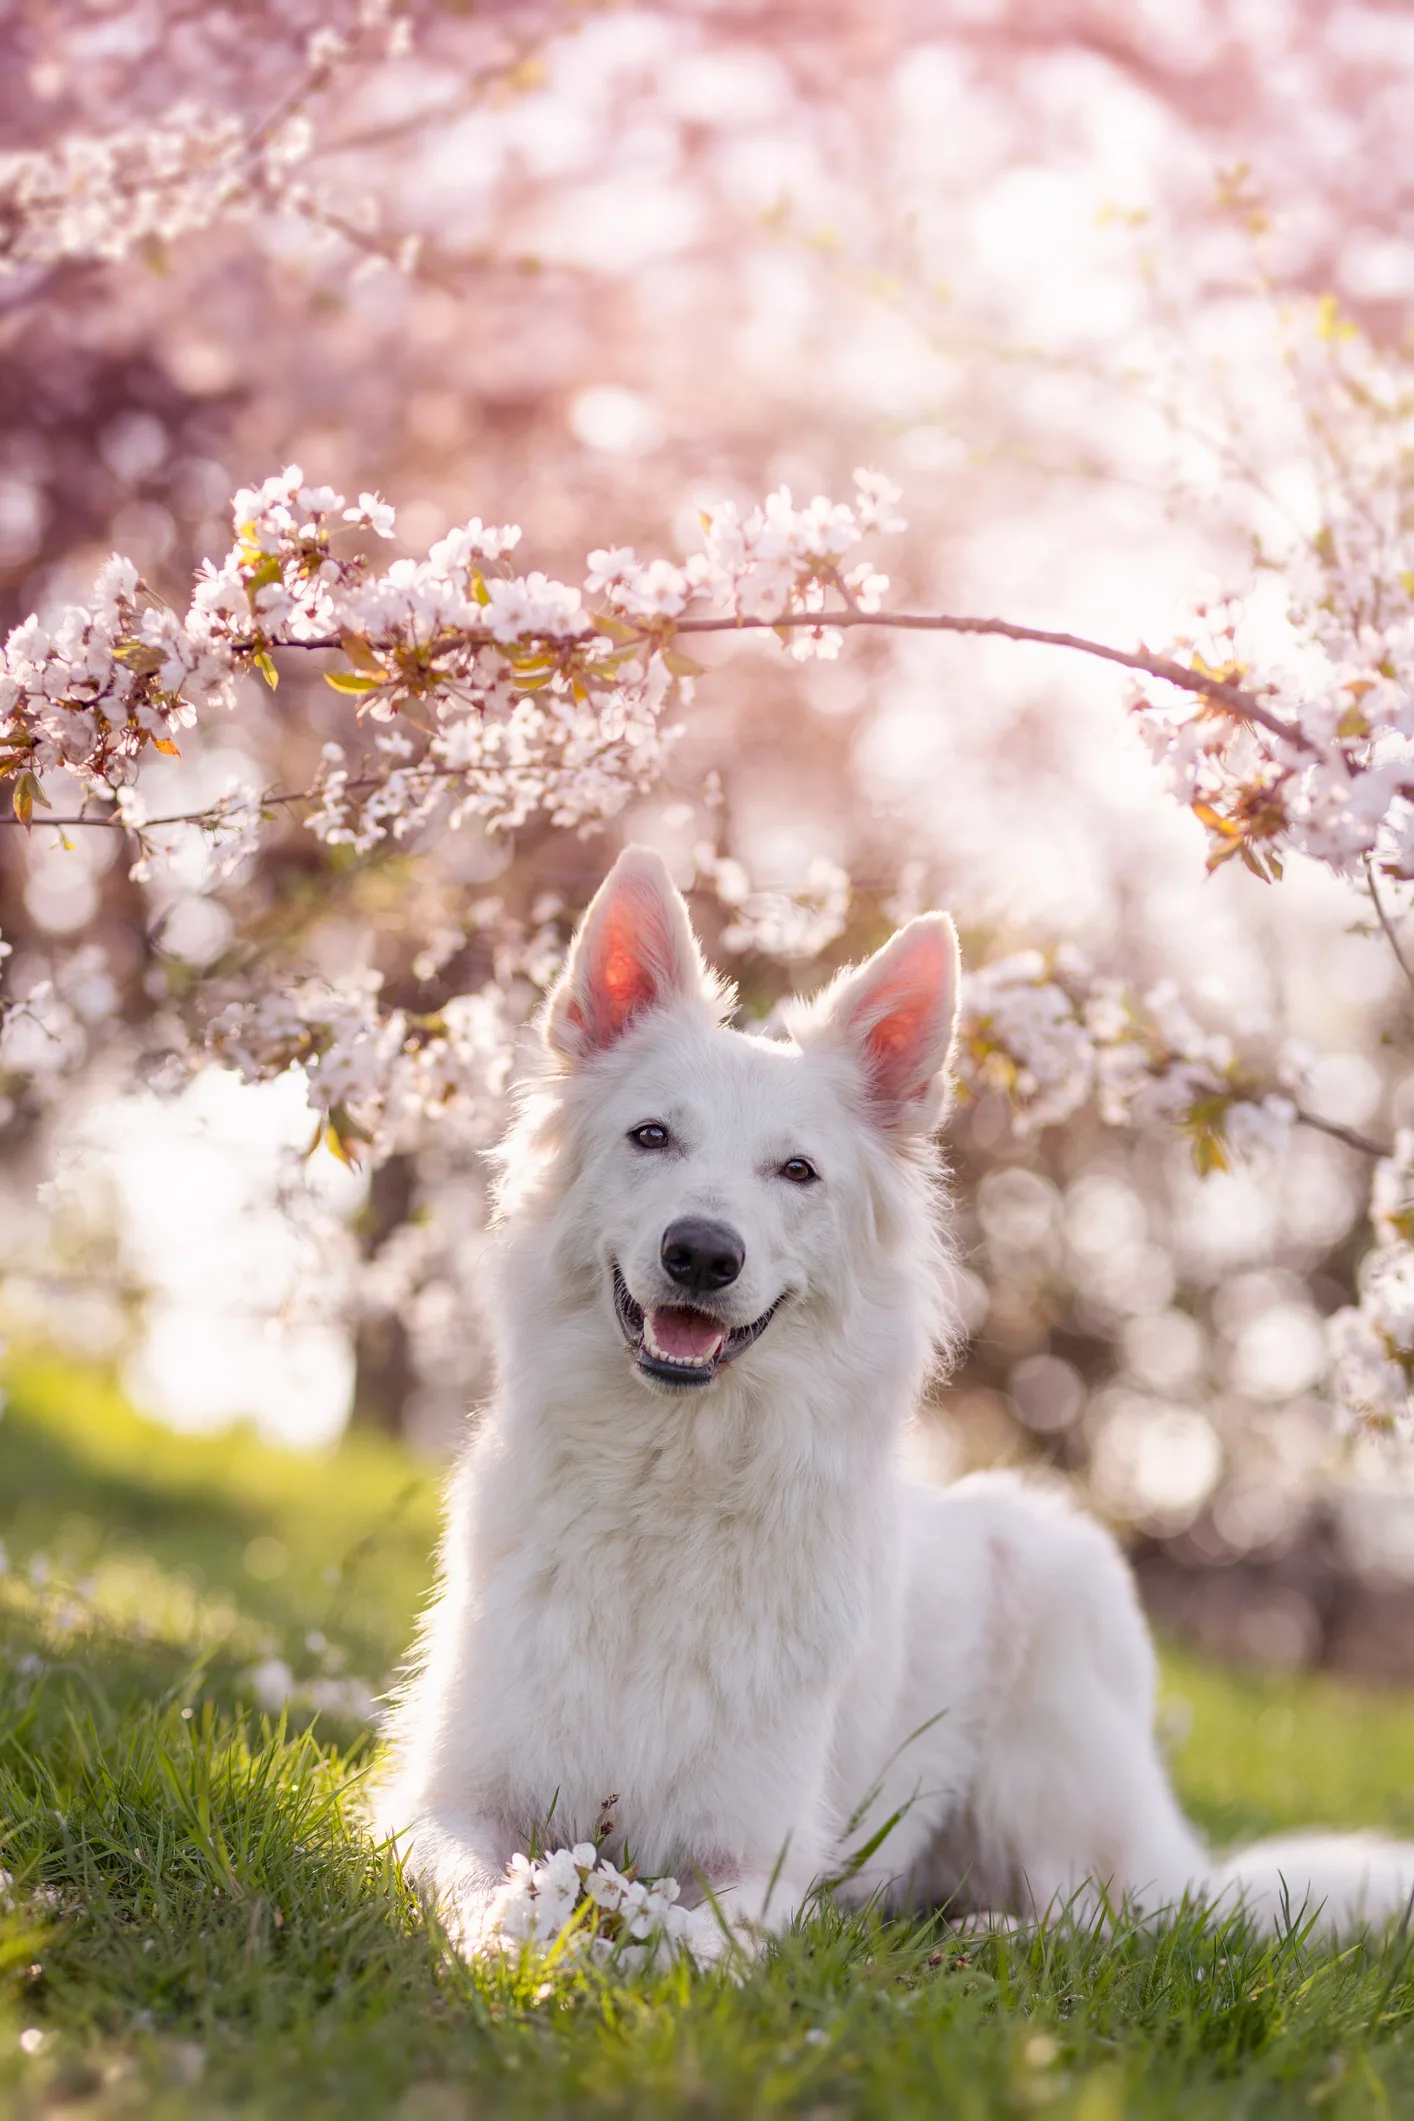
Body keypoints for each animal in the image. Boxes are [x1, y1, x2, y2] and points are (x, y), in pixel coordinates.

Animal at [373, 852, 1414, 1942]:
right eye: (650, 1136)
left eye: (797, 1170)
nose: (701, 1253)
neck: (671, 1475)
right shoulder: (446, 1803)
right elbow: (488, 1891)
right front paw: (524, 1943)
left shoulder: (754, 1861)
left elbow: (687, 1941)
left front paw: (609, 1954)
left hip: (1052, 1733)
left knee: (1130, 1917)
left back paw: (990, 1936)